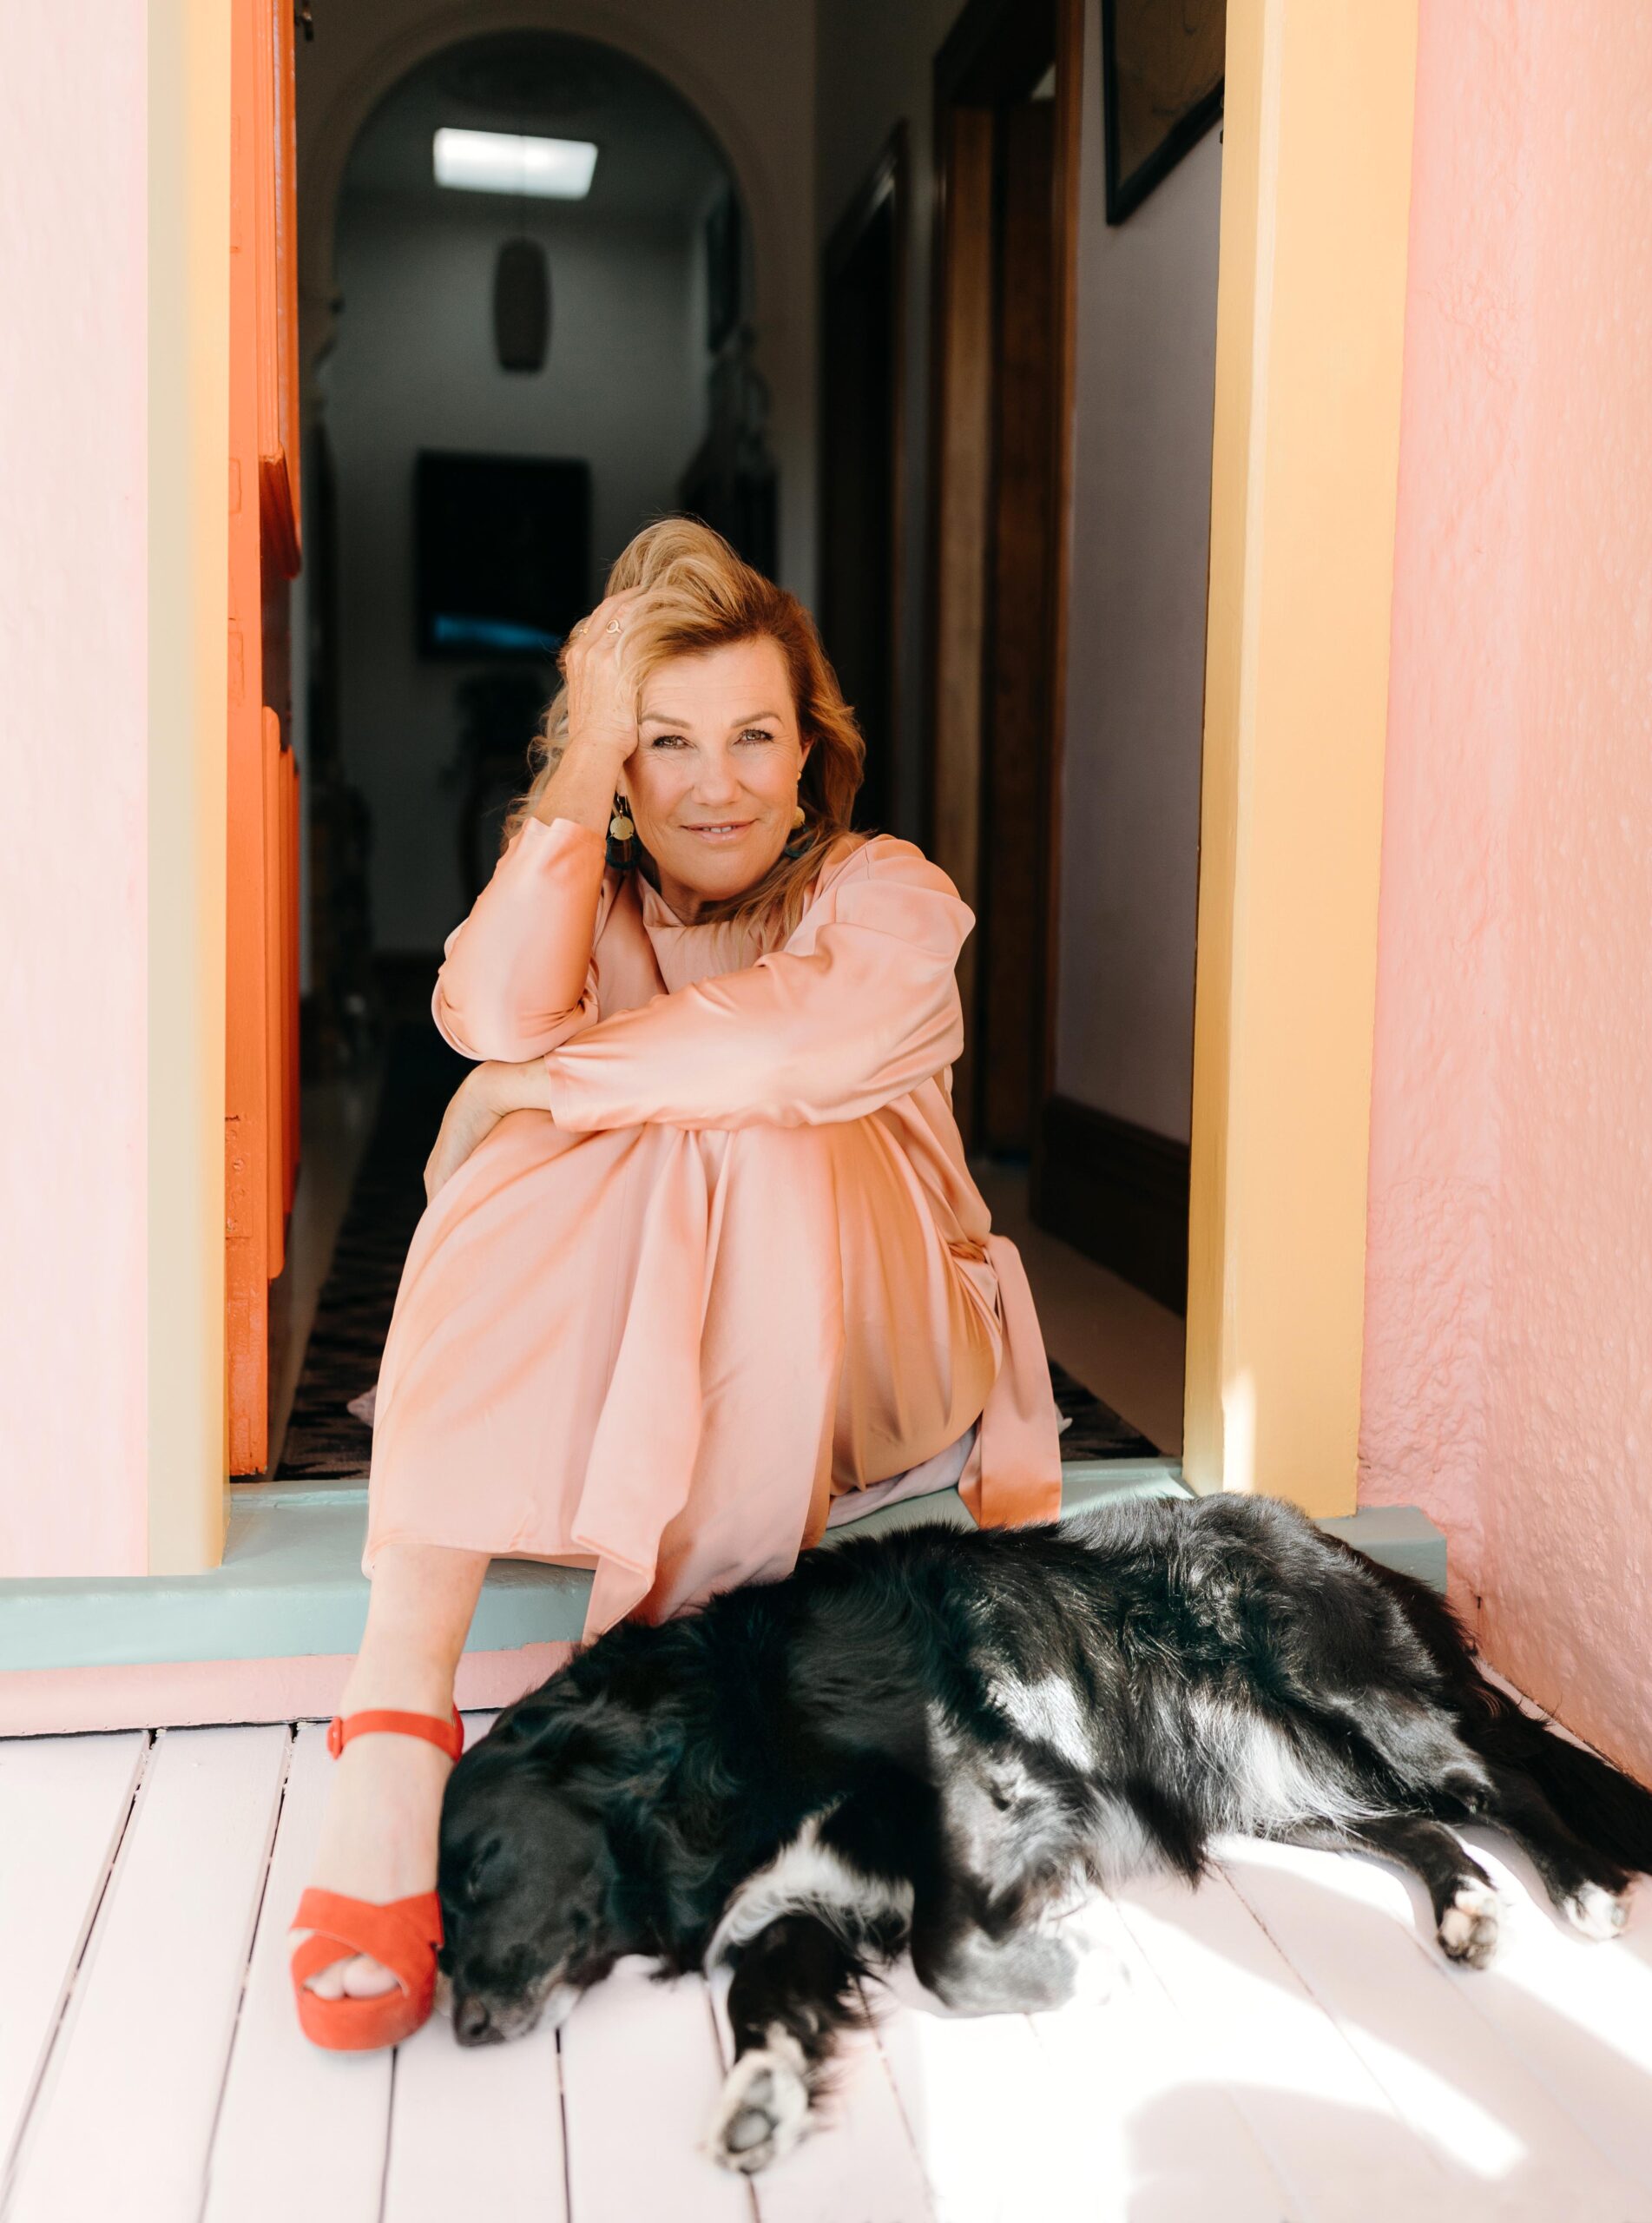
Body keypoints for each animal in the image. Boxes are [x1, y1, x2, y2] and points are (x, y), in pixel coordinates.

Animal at [436, 1494, 1652, 2169]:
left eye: (477, 1872)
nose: (467, 2030)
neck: (726, 1737)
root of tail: (1341, 1544)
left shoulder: (975, 1783)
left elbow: (945, 1950)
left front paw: (1079, 1971)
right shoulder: (808, 1901)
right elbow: (765, 2003)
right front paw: (759, 2100)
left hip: (1348, 1698)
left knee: (1502, 1777)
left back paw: (1581, 1885)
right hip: (1272, 1788)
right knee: (1418, 1828)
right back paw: (1465, 1906)